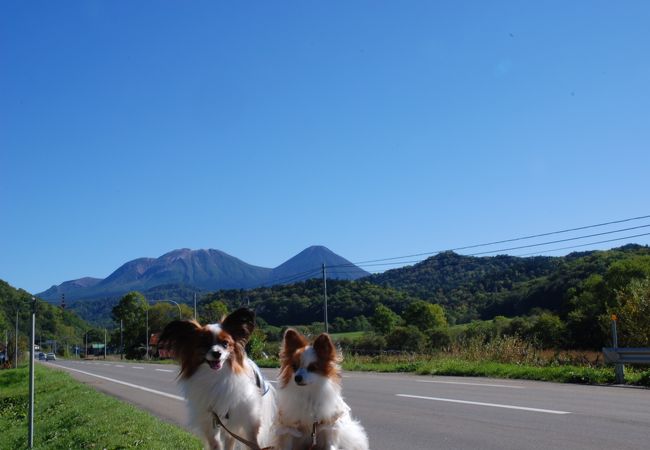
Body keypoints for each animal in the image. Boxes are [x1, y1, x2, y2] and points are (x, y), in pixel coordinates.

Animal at [161, 310, 276, 450]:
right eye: (204, 344)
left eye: (225, 344)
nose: (217, 353)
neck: (216, 375)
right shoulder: (210, 420)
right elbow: (216, 444)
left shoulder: (247, 418)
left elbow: (252, 442)